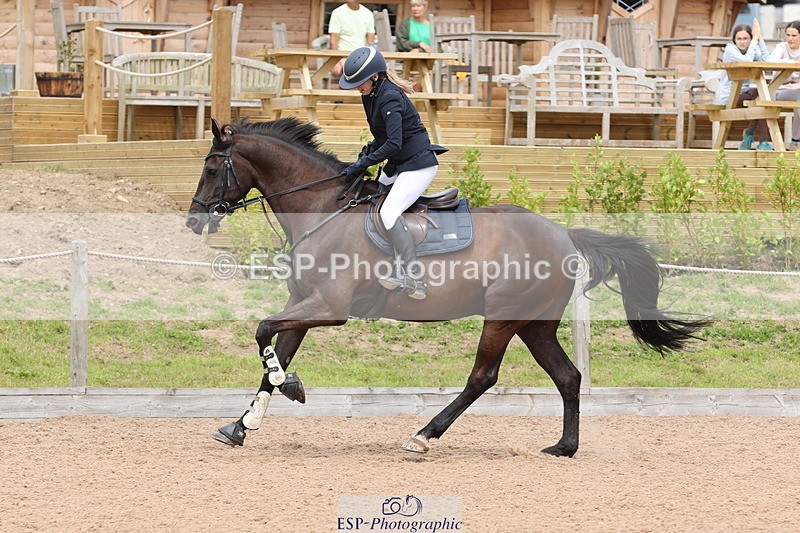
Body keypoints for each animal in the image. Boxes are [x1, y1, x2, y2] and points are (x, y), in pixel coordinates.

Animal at [186, 117, 709, 457]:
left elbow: (262, 331)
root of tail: (564, 233)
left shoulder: (327, 307)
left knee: (483, 377)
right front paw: (243, 423)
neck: (321, 208)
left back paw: (423, 436)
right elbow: (274, 353)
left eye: (212, 169)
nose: (193, 221)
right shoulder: (303, 304)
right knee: (568, 376)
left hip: (503, 317)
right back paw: (564, 447)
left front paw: (286, 390)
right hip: (534, 323)